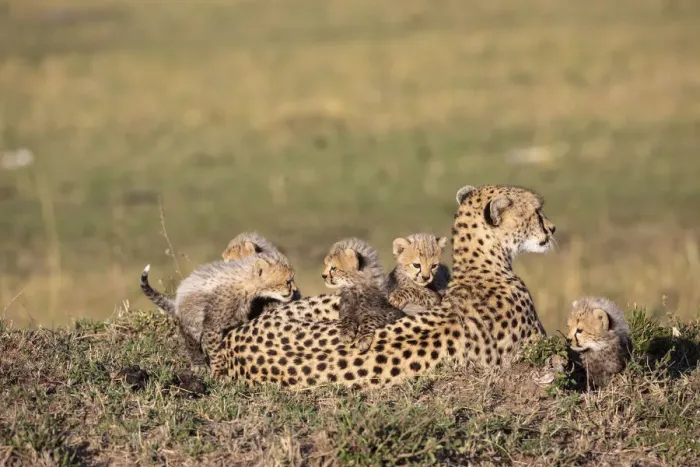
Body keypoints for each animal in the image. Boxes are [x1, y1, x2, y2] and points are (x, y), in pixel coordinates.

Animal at [140, 255, 298, 372]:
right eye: (288, 281)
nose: (294, 290)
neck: (246, 283)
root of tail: (177, 302)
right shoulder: (212, 324)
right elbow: (215, 349)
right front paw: (219, 372)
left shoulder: (238, 317)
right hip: (192, 320)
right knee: (190, 341)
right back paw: (198, 364)